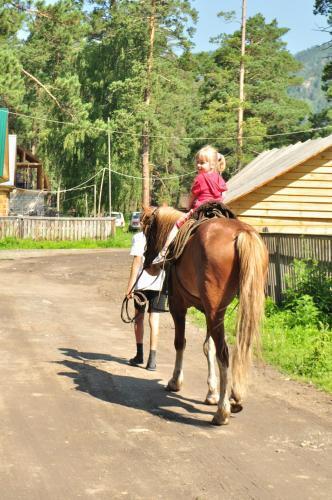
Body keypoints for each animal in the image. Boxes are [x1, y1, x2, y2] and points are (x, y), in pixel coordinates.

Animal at [141, 206, 268, 426]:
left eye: (148, 232)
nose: (148, 262)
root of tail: (243, 233)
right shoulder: (207, 311)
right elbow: (209, 348)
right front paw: (212, 393)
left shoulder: (178, 305)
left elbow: (180, 343)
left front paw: (175, 381)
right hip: (234, 307)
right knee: (239, 349)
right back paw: (235, 398)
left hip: (215, 311)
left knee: (225, 354)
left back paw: (222, 412)